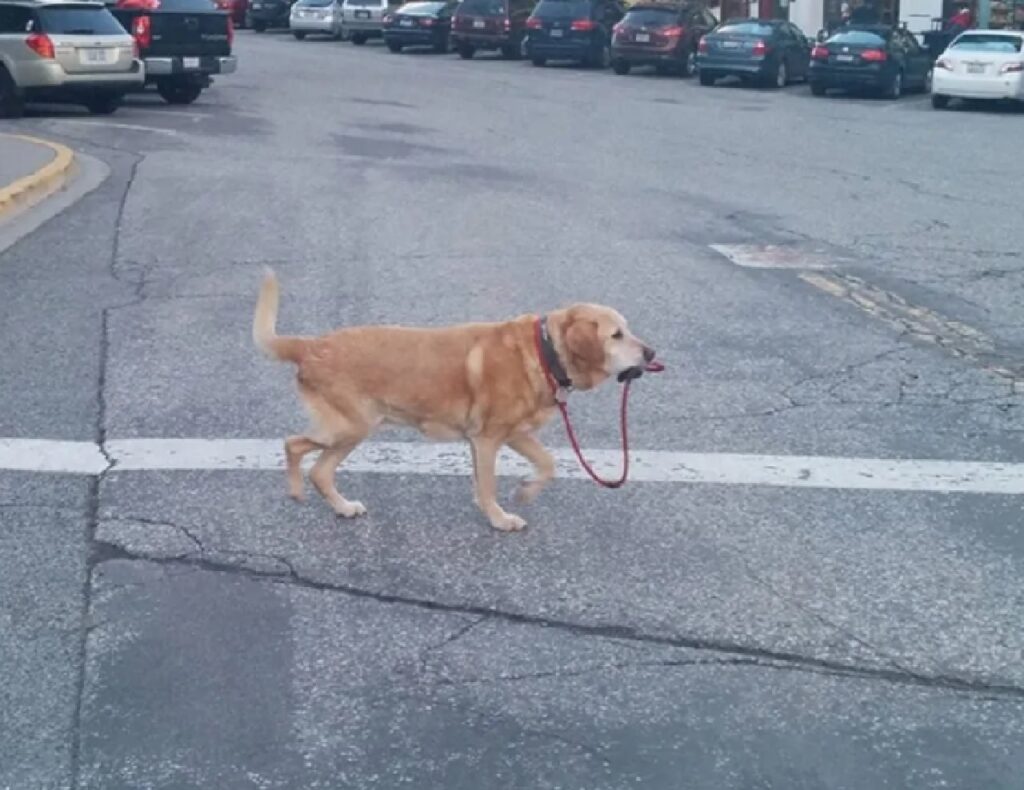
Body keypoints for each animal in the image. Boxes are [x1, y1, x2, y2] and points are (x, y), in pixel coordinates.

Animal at [254, 272, 655, 532]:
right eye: (616, 335)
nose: (651, 353)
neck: (545, 351)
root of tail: (310, 346)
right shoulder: (488, 439)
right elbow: (489, 485)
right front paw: (500, 519)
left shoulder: (513, 435)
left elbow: (547, 463)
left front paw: (525, 491)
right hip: (350, 427)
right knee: (294, 446)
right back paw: (296, 490)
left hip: (352, 431)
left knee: (319, 470)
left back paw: (341, 507)